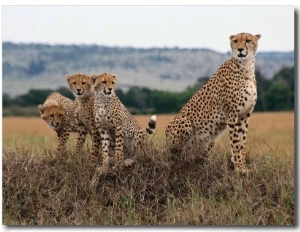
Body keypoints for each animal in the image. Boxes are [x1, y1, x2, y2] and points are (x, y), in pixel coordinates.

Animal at [165, 32, 262, 174]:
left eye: (248, 40)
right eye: (235, 41)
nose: (239, 49)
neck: (246, 66)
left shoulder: (245, 115)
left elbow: (242, 142)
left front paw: (242, 164)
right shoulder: (232, 114)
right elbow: (235, 142)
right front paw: (239, 167)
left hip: (210, 140)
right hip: (185, 123)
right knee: (174, 157)